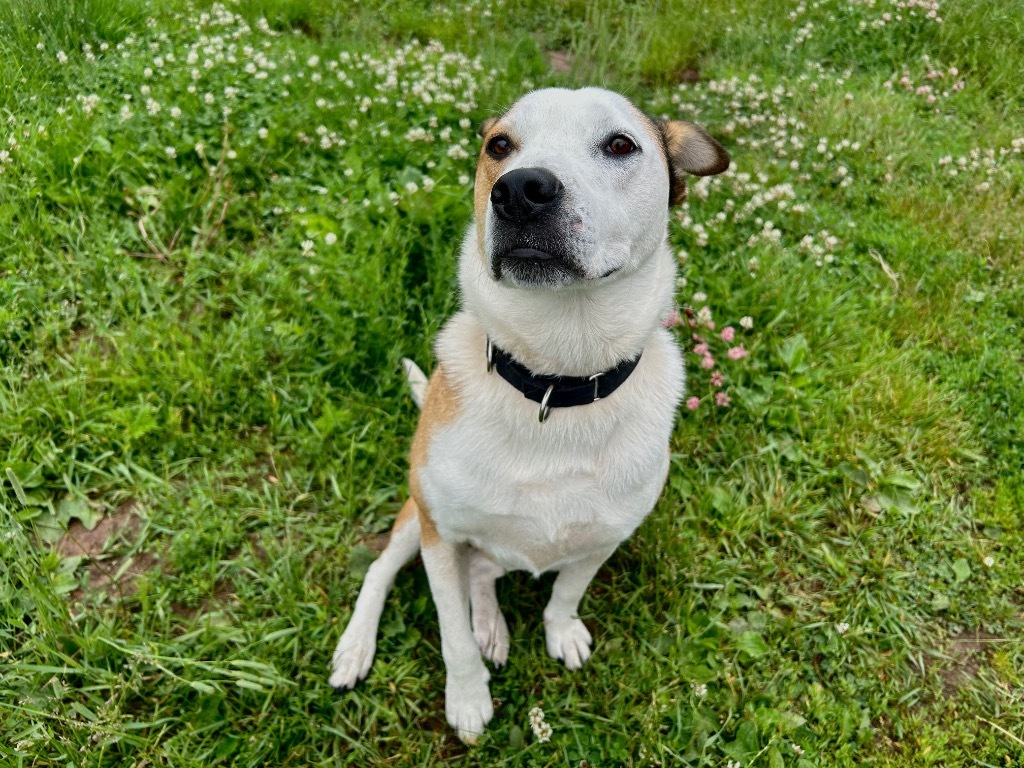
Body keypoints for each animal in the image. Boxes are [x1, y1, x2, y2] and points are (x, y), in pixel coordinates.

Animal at [327, 87, 729, 741]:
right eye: (499, 146)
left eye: (620, 144)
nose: (519, 189)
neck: (553, 384)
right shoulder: (441, 535)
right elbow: (452, 634)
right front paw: (468, 698)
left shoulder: (605, 537)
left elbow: (566, 591)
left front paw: (560, 632)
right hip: (416, 513)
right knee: (382, 571)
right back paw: (358, 647)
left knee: (483, 574)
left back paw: (492, 622)